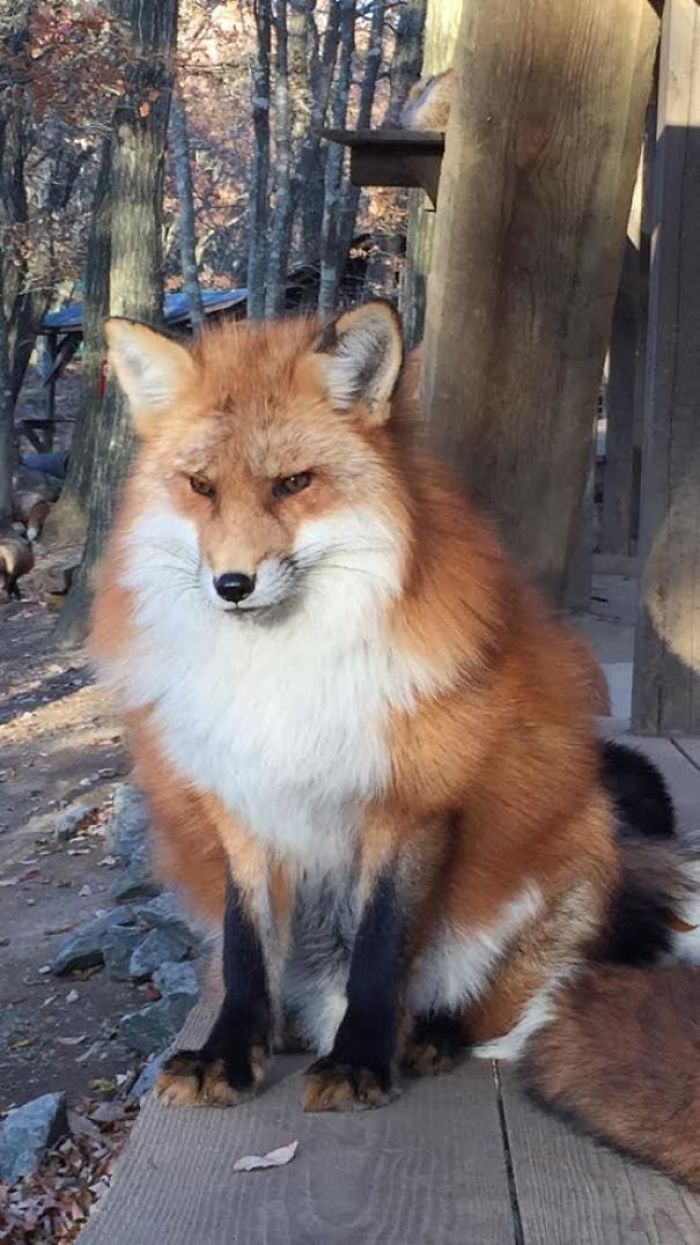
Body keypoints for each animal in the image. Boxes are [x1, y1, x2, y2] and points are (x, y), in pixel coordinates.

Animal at [93, 302, 700, 1190]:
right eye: (201, 486)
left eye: (294, 483)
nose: (232, 585)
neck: (280, 674)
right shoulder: (241, 810)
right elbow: (244, 954)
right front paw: (230, 1054)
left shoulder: (409, 803)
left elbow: (382, 948)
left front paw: (360, 1062)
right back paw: (288, 1029)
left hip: (563, 859)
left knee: (496, 1000)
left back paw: (429, 1033)